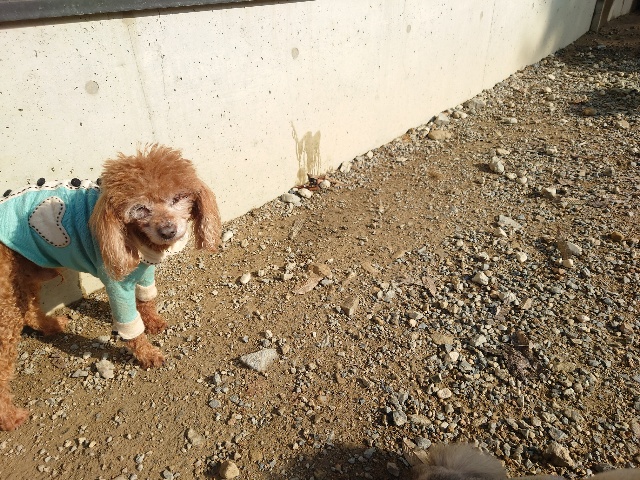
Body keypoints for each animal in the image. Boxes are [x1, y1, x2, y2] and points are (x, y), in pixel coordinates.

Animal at [0, 144, 221, 431]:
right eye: (140, 209)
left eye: (178, 198)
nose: (168, 231)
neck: (133, 236)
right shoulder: (117, 283)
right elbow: (131, 326)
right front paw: (147, 354)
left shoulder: (144, 270)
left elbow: (146, 298)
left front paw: (154, 321)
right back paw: (10, 417)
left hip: (24, 272)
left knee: (27, 307)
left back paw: (52, 325)